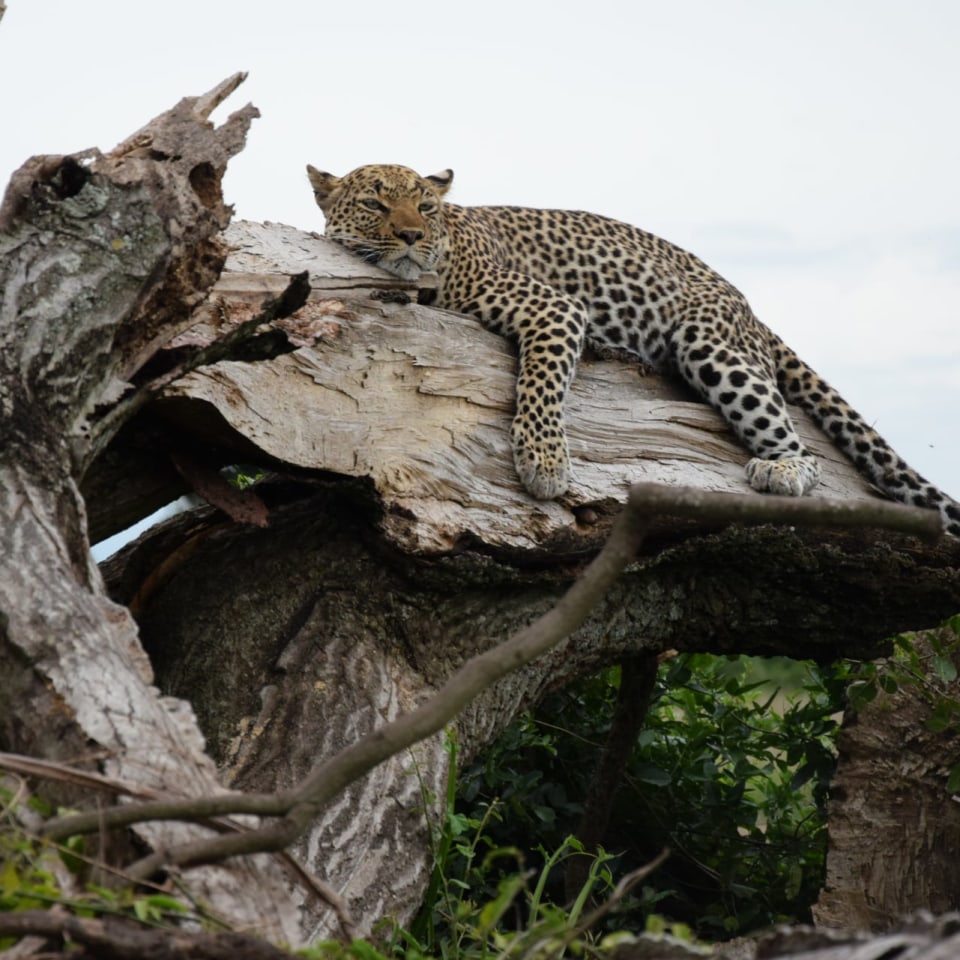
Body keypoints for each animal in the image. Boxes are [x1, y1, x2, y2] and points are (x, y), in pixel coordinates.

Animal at [307, 162, 960, 537]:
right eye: (375, 204)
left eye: (427, 206)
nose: (412, 235)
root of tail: (747, 304)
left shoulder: (555, 308)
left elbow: (542, 384)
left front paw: (544, 463)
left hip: (710, 340)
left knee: (803, 450)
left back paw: (783, 468)